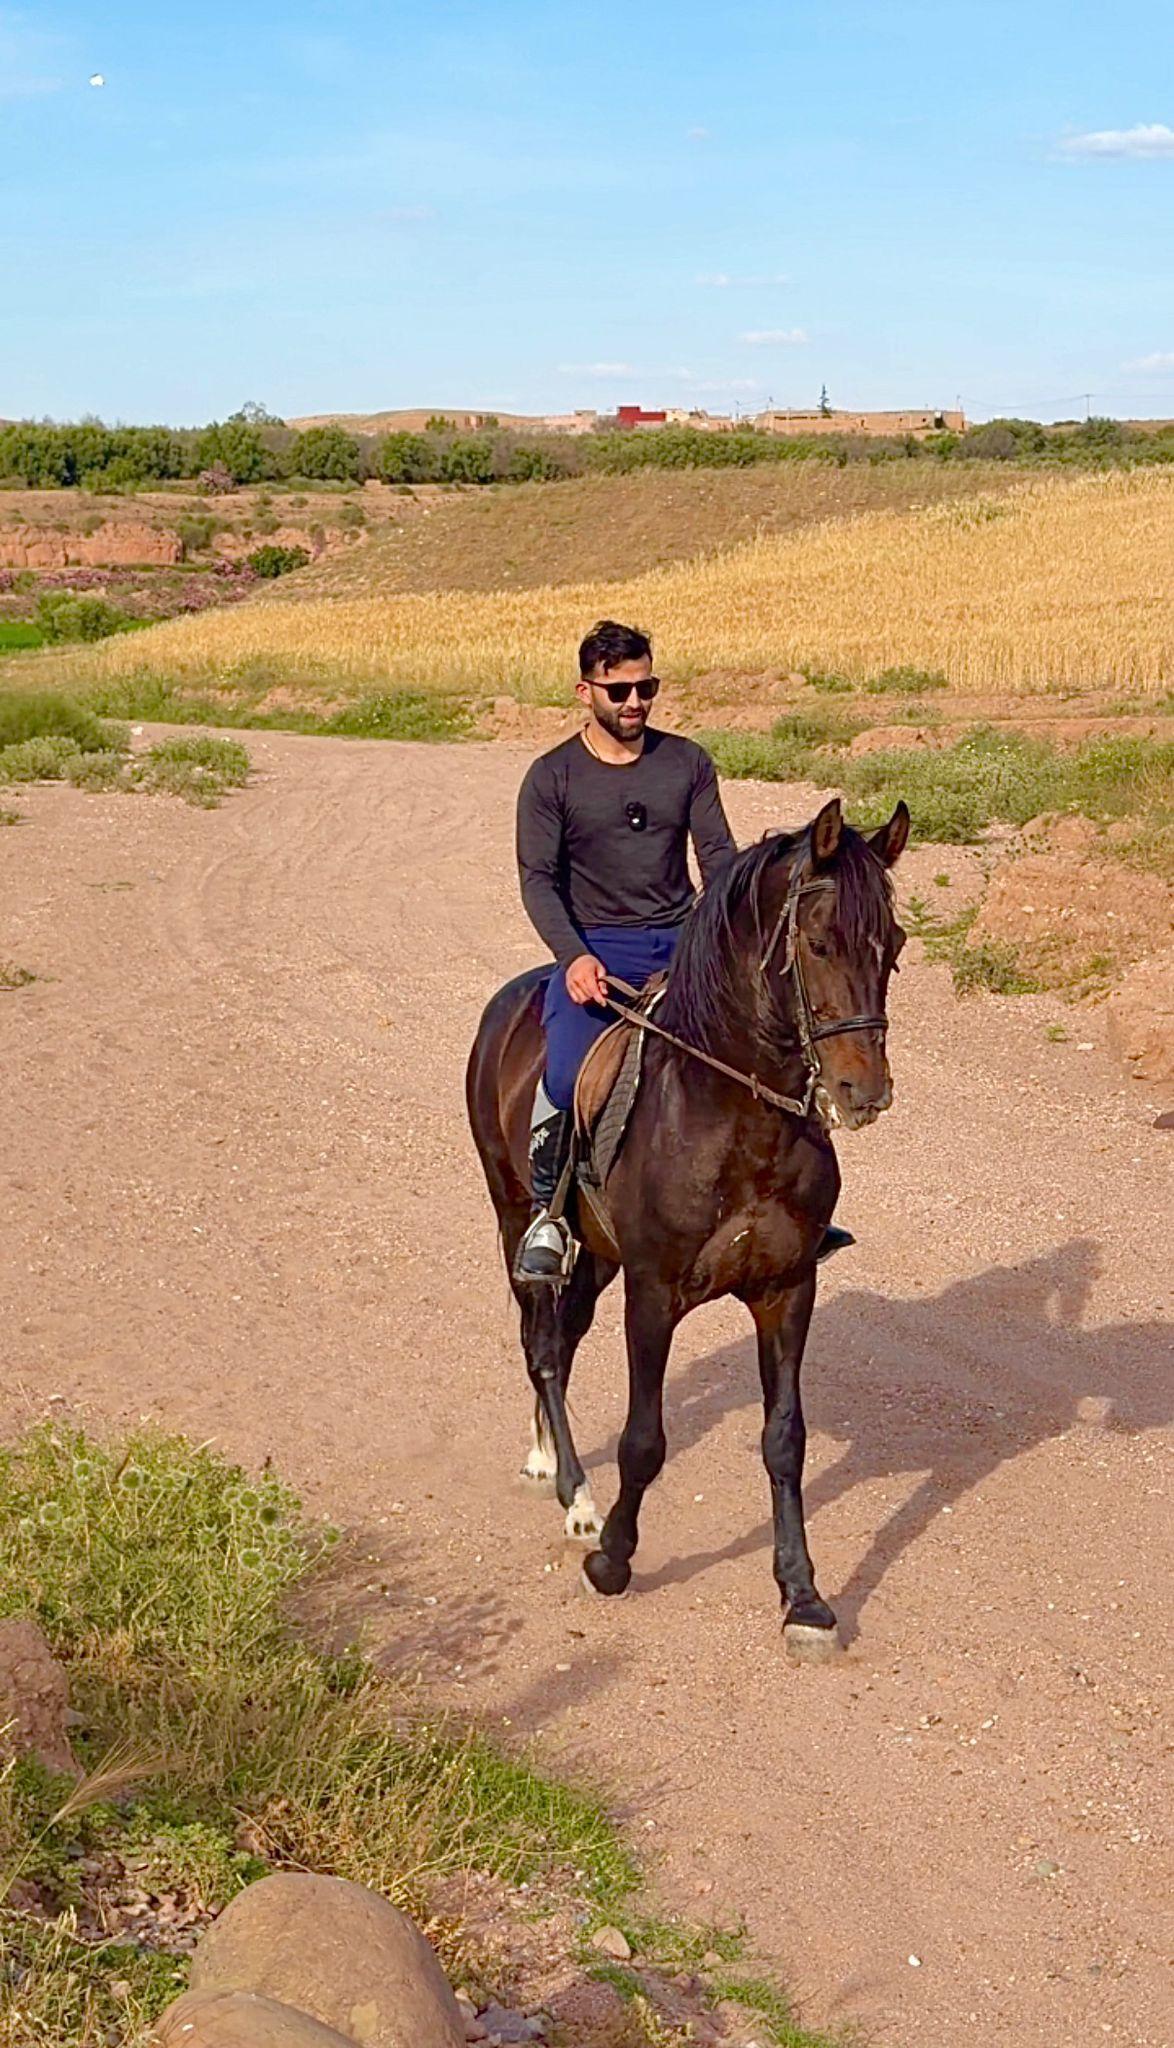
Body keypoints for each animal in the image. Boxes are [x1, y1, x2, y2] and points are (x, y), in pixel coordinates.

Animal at [466, 795, 909, 1656]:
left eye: (896, 948)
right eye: (818, 943)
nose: (863, 1091)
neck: (737, 1117)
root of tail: (512, 999)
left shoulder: (785, 1289)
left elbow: (785, 1440)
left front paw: (803, 1597)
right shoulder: (654, 1293)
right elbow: (645, 1440)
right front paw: (612, 1561)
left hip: (596, 1255)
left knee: (563, 1338)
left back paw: (549, 1461)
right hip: (516, 1219)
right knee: (541, 1344)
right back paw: (574, 1496)